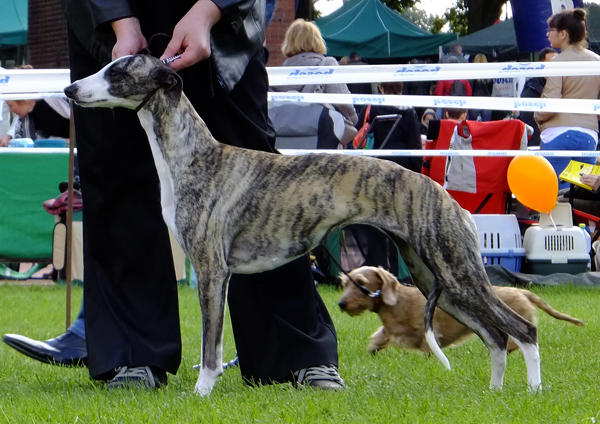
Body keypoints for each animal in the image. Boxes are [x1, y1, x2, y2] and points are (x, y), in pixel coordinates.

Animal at [64, 54, 544, 396]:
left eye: (116, 70)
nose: (69, 88)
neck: (194, 157)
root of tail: (445, 195)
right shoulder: (214, 270)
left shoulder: (213, 270)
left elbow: (211, 346)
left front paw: (201, 393)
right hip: (434, 278)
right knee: (494, 337)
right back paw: (496, 393)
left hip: (457, 271)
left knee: (522, 330)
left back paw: (534, 392)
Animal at [340, 268, 584, 354]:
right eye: (345, 282)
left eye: (361, 283)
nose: (341, 304)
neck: (398, 303)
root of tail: (522, 291)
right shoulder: (390, 332)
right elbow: (378, 339)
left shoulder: (428, 334)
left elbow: (428, 348)